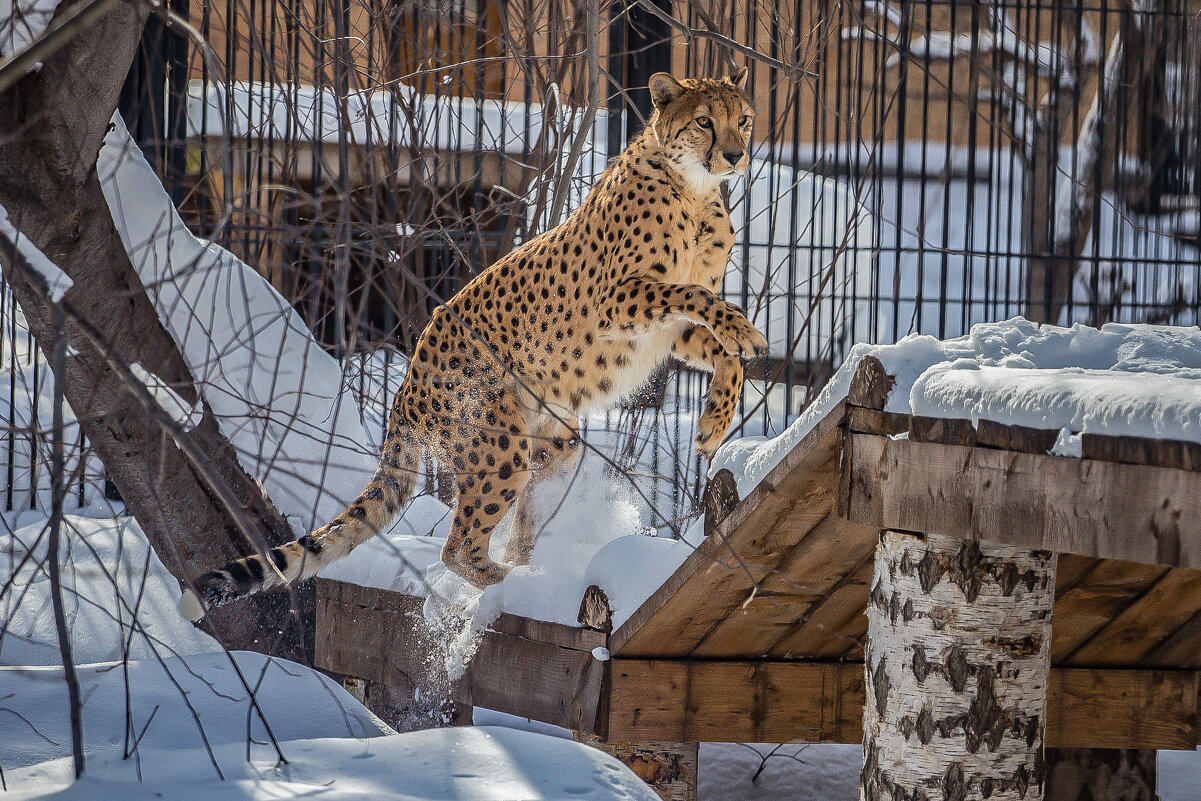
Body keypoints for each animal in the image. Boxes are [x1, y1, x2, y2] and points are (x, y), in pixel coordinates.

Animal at [184, 69, 768, 614]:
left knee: (516, 517)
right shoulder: (618, 299)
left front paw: (716, 421)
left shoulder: (669, 329)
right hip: (498, 446)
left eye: (742, 119)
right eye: (704, 121)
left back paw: (526, 568)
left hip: (555, 442)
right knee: (458, 546)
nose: (735, 155)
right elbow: (698, 295)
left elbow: (720, 346)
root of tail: (407, 382)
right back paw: (520, 587)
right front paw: (745, 334)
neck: (694, 190)